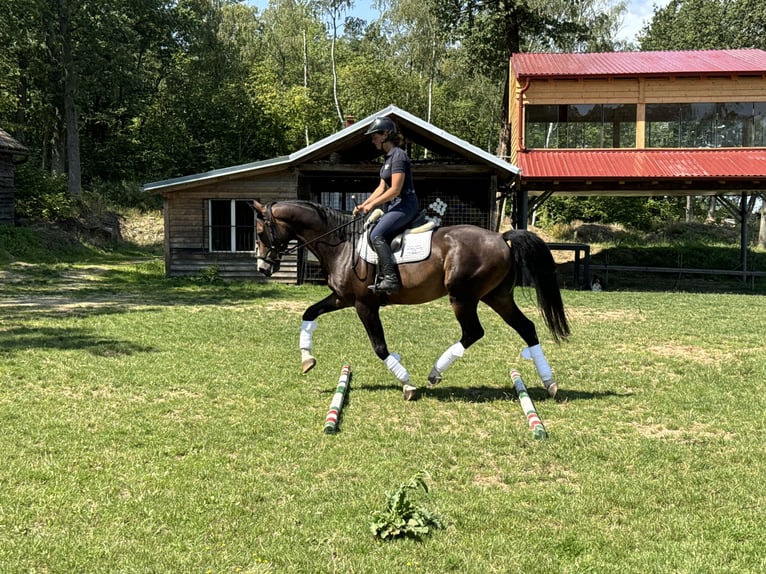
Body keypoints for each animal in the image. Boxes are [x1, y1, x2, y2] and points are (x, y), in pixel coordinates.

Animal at [255, 200, 572, 402]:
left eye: (260, 232)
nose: (262, 268)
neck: (343, 244)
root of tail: (501, 237)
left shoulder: (364, 305)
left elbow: (380, 347)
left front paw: (406, 383)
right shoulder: (342, 298)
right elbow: (309, 313)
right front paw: (307, 359)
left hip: (463, 297)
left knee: (473, 332)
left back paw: (434, 374)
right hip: (497, 296)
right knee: (527, 328)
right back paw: (550, 383)